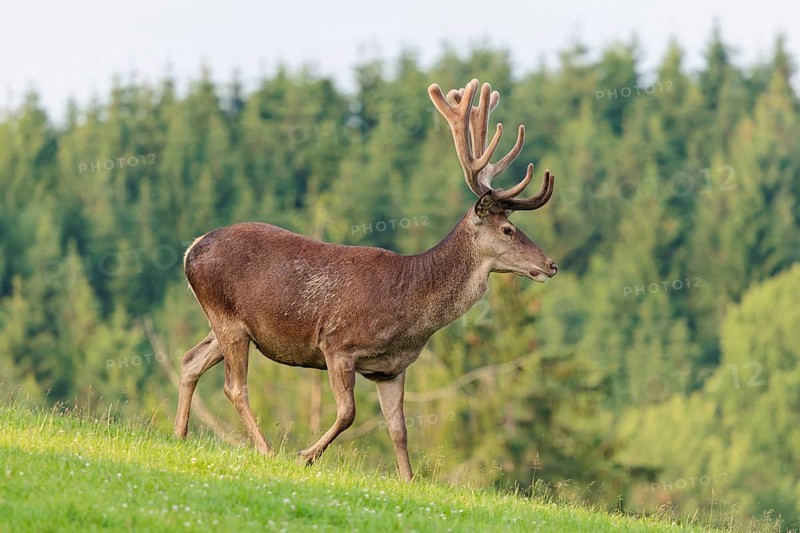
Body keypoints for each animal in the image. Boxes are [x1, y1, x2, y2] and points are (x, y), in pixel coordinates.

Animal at [175, 79, 558, 482]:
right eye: (508, 229)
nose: (550, 265)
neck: (411, 310)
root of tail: (191, 250)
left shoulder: (391, 368)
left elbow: (399, 428)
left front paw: (408, 480)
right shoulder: (338, 344)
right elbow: (348, 413)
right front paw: (304, 455)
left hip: (230, 324)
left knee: (189, 360)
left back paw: (179, 434)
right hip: (227, 318)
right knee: (235, 387)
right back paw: (264, 448)